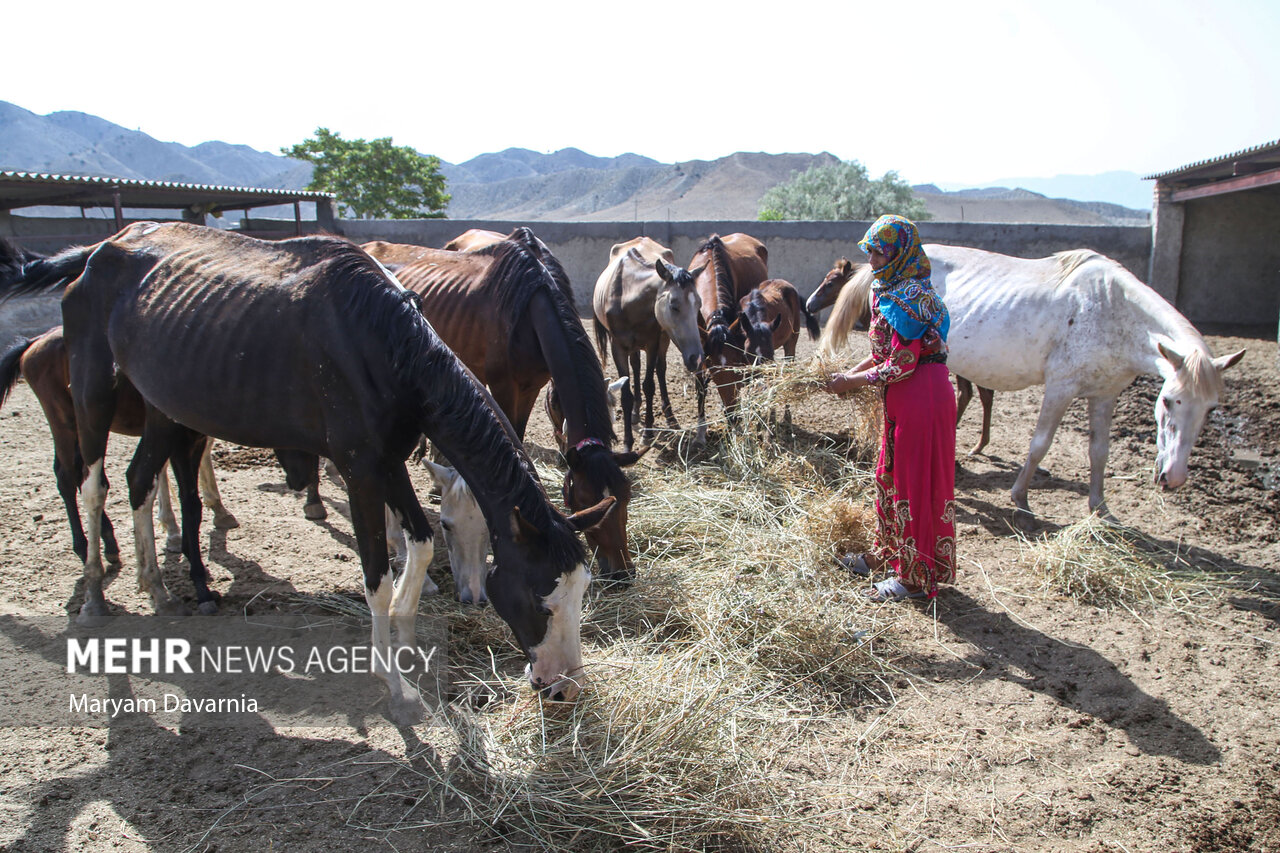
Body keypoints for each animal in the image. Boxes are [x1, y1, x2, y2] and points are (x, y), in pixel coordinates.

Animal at [360, 229, 640, 581]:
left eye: (625, 497)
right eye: (584, 498)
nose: (622, 573)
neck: (531, 307)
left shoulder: (531, 386)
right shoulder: (504, 385)